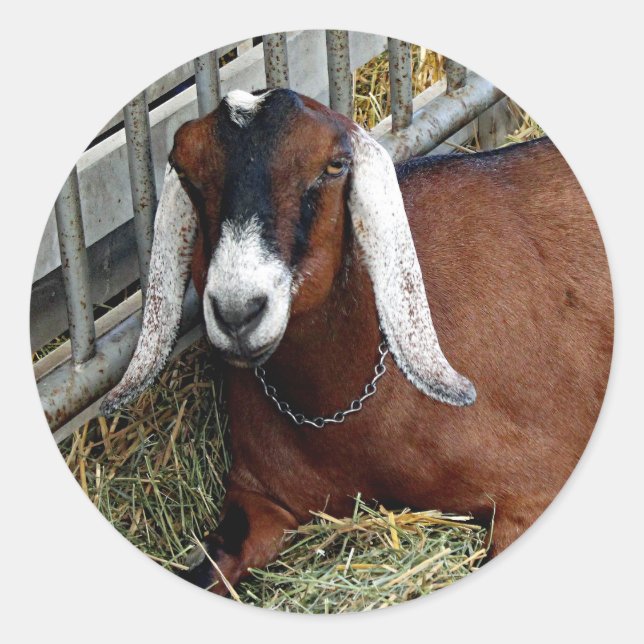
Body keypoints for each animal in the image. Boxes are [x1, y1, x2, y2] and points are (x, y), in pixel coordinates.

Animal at [101, 88, 613, 595]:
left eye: (334, 165)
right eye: (185, 171)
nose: (237, 312)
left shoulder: (534, 491)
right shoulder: (259, 497)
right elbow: (206, 567)